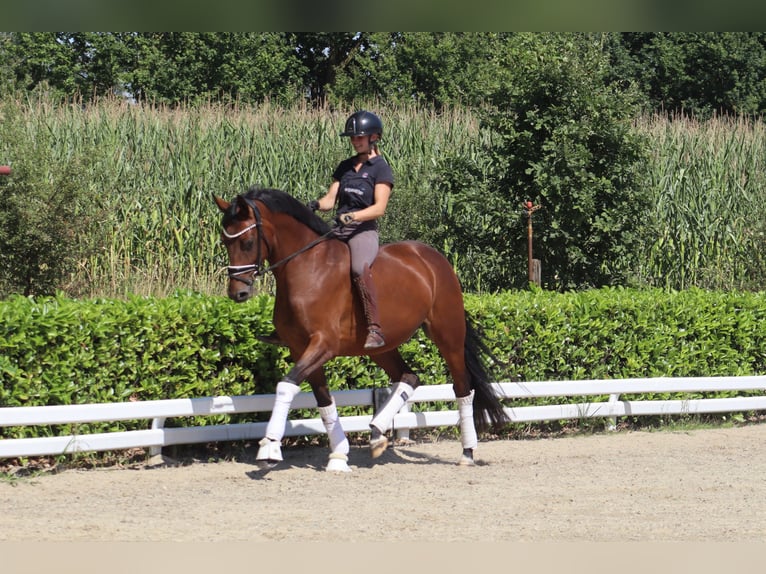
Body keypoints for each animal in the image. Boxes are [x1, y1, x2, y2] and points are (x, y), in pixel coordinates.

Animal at [213, 186, 508, 472]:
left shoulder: (323, 344)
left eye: (247, 242)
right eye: (225, 242)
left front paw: (269, 449)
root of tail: (433, 257)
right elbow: (323, 399)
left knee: (462, 387)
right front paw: (338, 456)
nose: (238, 293)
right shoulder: (301, 349)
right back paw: (377, 432)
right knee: (409, 376)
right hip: (381, 347)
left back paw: (467, 452)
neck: (308, 267)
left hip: (448, 336)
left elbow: (286, 386)